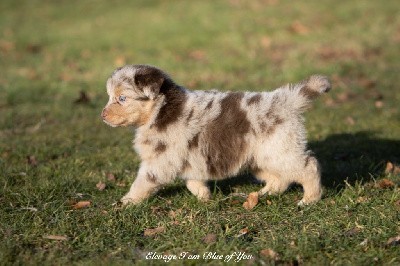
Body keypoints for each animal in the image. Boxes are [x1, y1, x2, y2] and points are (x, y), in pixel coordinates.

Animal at [101, 64, 330, 206]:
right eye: (110, 96)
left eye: (122, 98)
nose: (102, 115)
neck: (161, 110)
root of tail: (287, 100)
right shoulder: (188, 158)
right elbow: (193, 181)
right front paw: (204, 197)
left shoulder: (159, 161)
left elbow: (141, 183)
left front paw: (125, 202)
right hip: (262, 158)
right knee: (281, 178)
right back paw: (263, 194)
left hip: (280, 151)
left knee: (309, 166)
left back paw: (310, 199)